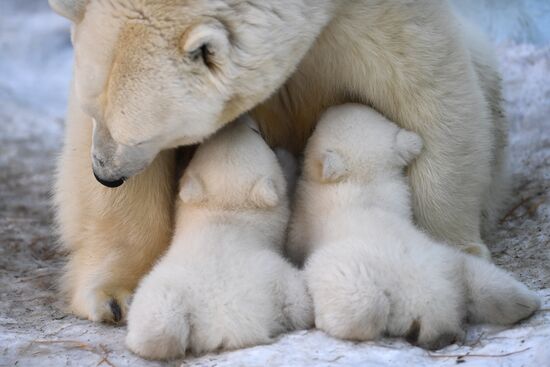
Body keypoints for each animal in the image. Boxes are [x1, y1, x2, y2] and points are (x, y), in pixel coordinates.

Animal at [49, 0, 512, 322]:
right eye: (93, 111)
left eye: (139, 134)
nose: (106, 174)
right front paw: (117, 296)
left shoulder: (375, 15)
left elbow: (430, 92)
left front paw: (453, 251)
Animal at [292, 105, 540, 350]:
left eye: (317, 128)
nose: (330, 107)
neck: (364, 183)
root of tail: (429, 306)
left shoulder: (308, 211)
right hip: (451, 262)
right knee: (486, 281)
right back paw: (526, 303)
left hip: (347, 274)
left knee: (362, 307)